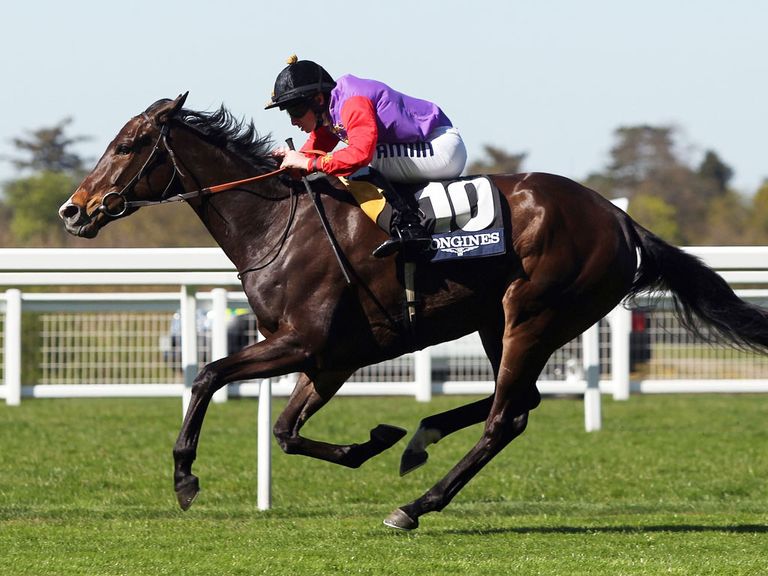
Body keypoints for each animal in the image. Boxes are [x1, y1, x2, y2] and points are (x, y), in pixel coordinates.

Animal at [58, 94, 768, 532]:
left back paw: (415, 505)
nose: (73, 210)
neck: (276, 224)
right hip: (497, 321)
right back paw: (419, 440)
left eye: (128, 145)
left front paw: (184, 477)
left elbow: (207, 374)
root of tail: (620, 220)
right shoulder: (331, 359)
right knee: (520, 403)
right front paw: (372, 441)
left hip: (532, 313)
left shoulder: (304, 342)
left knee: (506, 417)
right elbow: (285, 431)